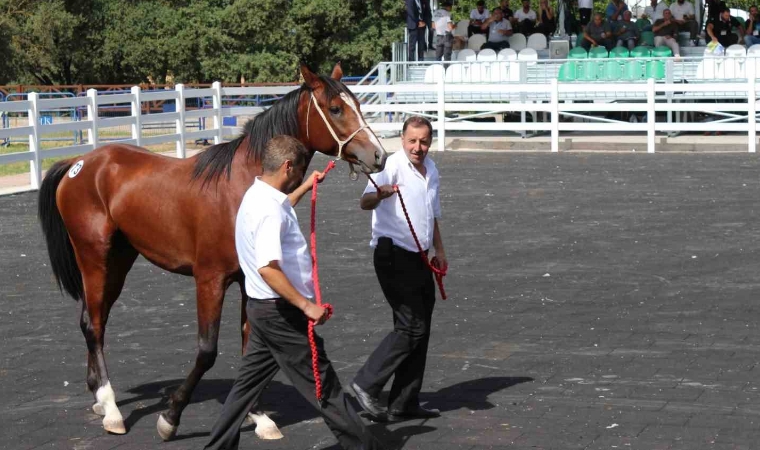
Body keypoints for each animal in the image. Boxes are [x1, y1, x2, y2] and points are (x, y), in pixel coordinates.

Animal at [35, 65, 386, 442]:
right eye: (335, 108)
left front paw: (259, 416)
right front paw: (171, 418)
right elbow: (206, 351)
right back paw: (112, 408)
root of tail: (80, 162)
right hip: (94, 258)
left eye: (357, 104)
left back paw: (99, 397)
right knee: (95, 326)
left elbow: (250, 345)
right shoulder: (210, 280)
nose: (379, 155)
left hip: (118, 262)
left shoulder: (251, 282)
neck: (243, 186)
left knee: (92, 319)